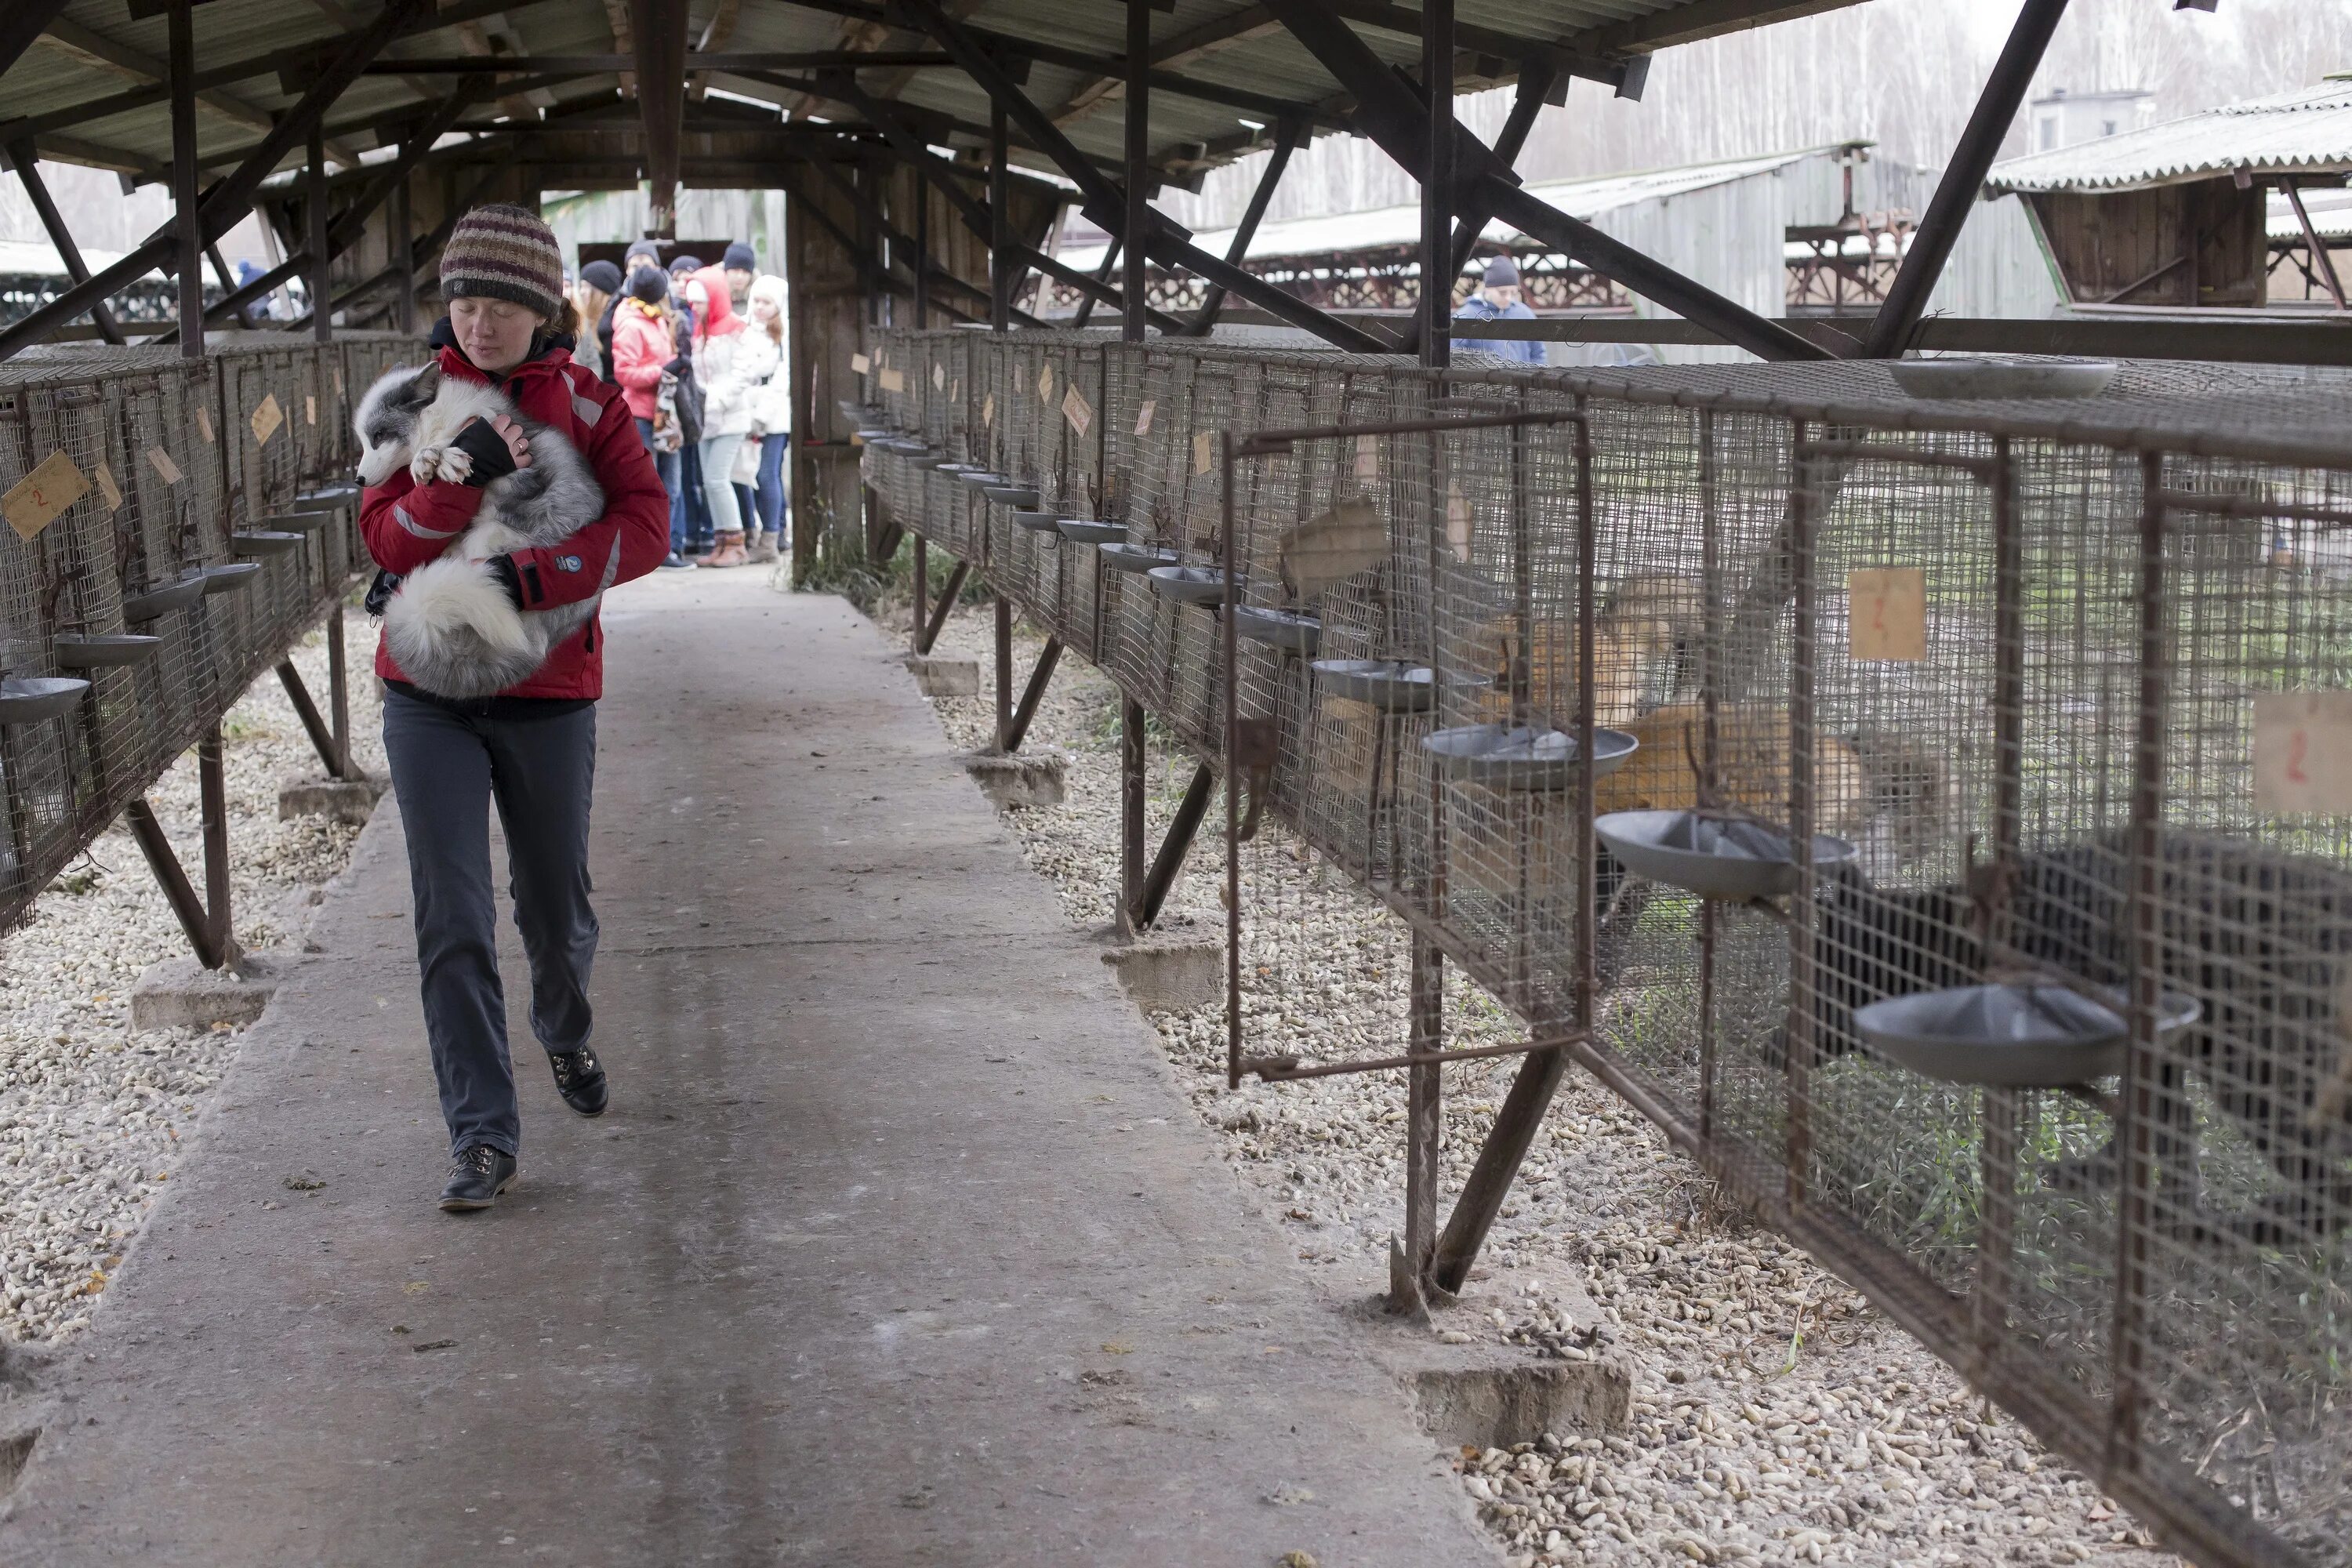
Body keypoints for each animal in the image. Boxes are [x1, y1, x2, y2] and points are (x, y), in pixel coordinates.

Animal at [353, 368, 607, 700]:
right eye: (364, 441)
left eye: (380, 436)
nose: (359, 480)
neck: (439, 420)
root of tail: (540, 641)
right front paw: (429, 460)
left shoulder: (516, 464)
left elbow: (451, 442)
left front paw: (441, 456)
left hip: (489, 537)